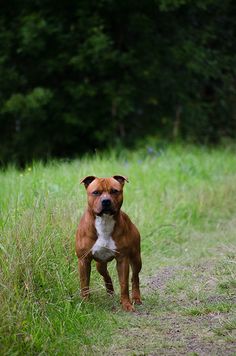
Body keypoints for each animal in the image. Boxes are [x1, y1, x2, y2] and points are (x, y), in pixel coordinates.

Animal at [75, 175, 142, 312]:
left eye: (114, 191)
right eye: (96, 192)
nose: (106, 201)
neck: (104, 222)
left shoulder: (123, 260)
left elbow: (124, 284)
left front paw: (126, 304)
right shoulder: (83, 260)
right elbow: (84, 284)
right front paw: (85, 303)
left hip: (136, 258)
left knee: (135, 277)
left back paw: (136, 298)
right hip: (100, 264)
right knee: (106, 275)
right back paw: (110, 291)